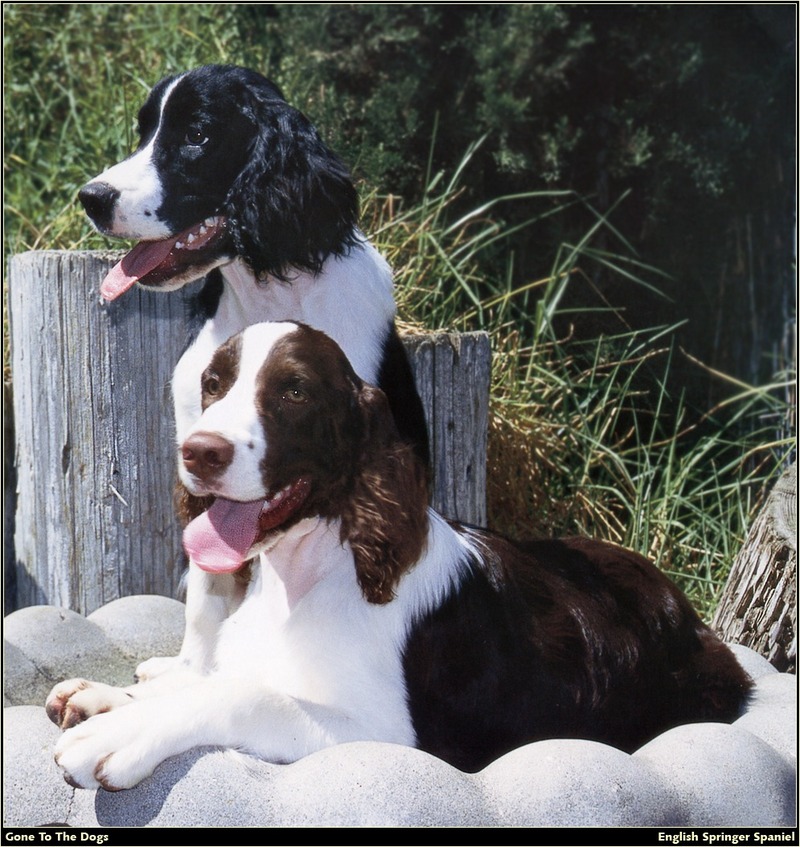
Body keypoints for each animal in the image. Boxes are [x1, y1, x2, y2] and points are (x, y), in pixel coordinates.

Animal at [48, 322, 752, 792]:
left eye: (295, 392)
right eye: (213, 385)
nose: (199, 452)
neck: (311, 574)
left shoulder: (393, 735)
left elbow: (245, 696)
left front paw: (117, 733)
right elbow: (216, 679)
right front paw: (107, 699)